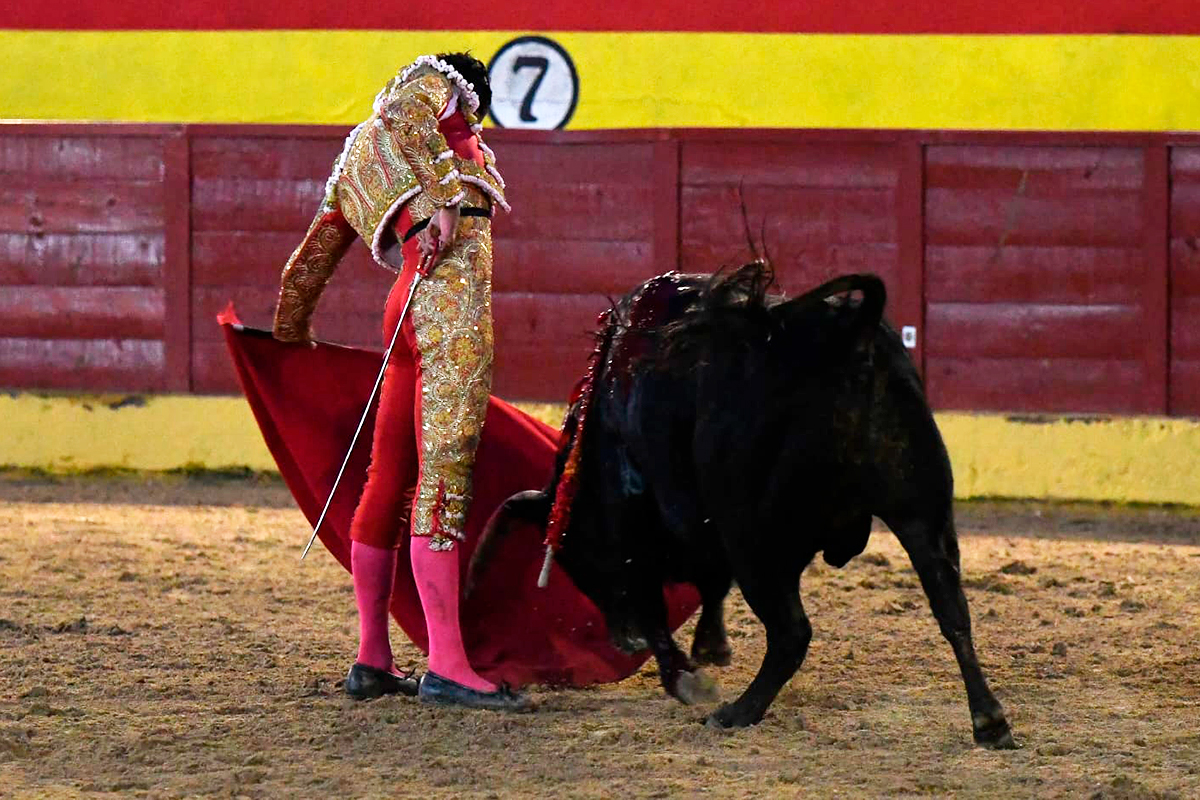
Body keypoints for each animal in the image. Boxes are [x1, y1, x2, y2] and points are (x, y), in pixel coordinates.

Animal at [469, 264, 1016, 749]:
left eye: (583, 562)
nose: (623, 642)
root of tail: (848, 334)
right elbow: (710, 583)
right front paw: (710, 647)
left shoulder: (645, 531)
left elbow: (657, 601)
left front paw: (688, 676)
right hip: (921, 511)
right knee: (952, 609)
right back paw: (990, 722)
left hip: (757, 538)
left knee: (792, 633)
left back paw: (736, 712)